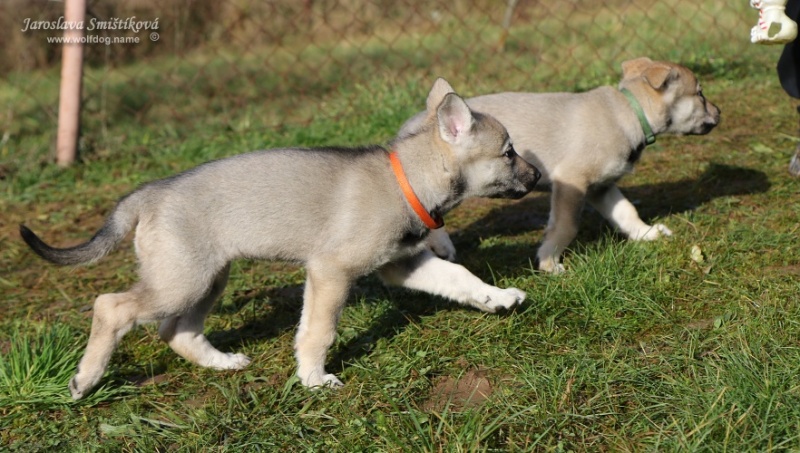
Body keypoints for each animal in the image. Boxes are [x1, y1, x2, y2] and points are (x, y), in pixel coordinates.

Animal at [20, 78, 544, 400]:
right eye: (508, 152)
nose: (539, 175)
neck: (407, 180)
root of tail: (149, 193)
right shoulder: (331, 273)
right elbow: (318, 331)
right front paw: (313, 378)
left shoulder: (402, 264)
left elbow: (460, 278)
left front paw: (497, 298)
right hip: (180, 281)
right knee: (111, 307)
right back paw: (85, 380)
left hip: (206, 279)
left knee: (176, 331)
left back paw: (222, 363)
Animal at [404, 58, 720, 274]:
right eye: (700, 94)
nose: (719, 112)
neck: (629, 111)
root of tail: (426, 118)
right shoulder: (571, 182)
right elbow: (567, 226)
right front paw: (548, 261)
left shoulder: (601, 188)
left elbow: (627, 212)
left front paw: (647, 233)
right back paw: (442, 246)